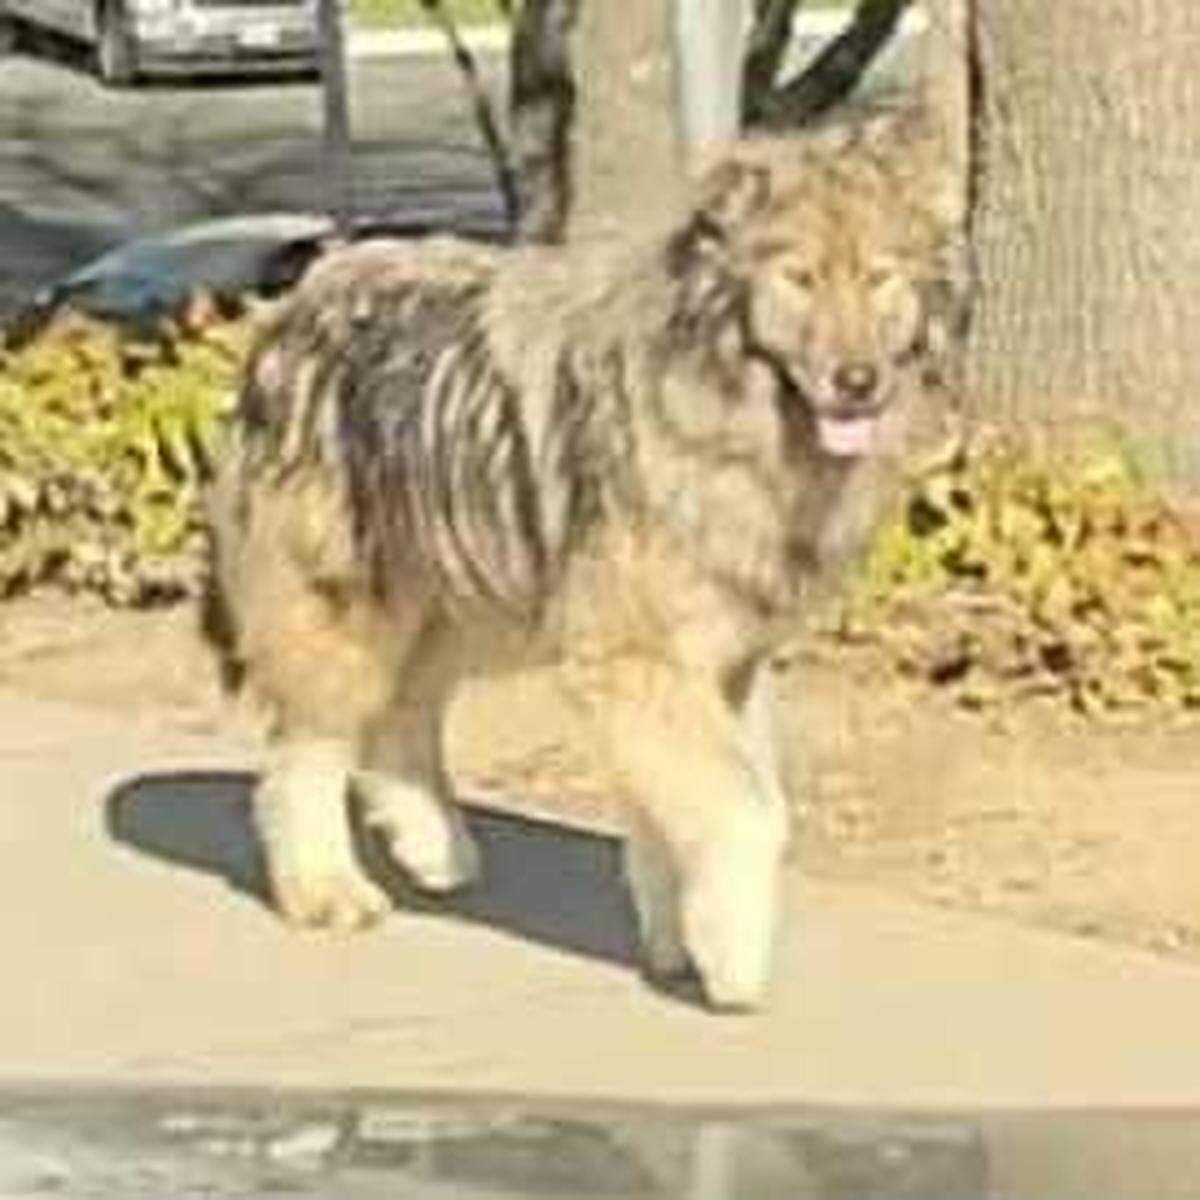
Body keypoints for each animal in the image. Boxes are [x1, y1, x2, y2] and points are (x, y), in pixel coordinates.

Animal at [203, 103, 969, 1010]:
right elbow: (745, 812)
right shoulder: (638, 657)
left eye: (882, 277)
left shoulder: (712, 664)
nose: (858, 381)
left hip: (472, 597)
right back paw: (324, 886)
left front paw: (677, 937)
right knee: (309, 748)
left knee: (403, 713)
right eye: (801, 278)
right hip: (353, 605)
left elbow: (683, 812)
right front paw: (733, 957)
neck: (722, 411)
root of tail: (296, 298)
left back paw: (433, 846)